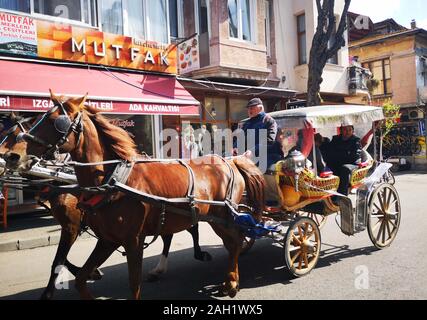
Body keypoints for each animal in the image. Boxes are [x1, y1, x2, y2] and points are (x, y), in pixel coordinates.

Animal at [3, 93, 264, 300]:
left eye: (55, 121)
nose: (12, 156)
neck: (112, 179)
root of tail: (230, 160)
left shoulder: (129, 239)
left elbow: (132, 284)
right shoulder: (107, 239)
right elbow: (79, 278)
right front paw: (88, 276)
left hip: (225, 216)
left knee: (233, 241)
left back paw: (230, 281)